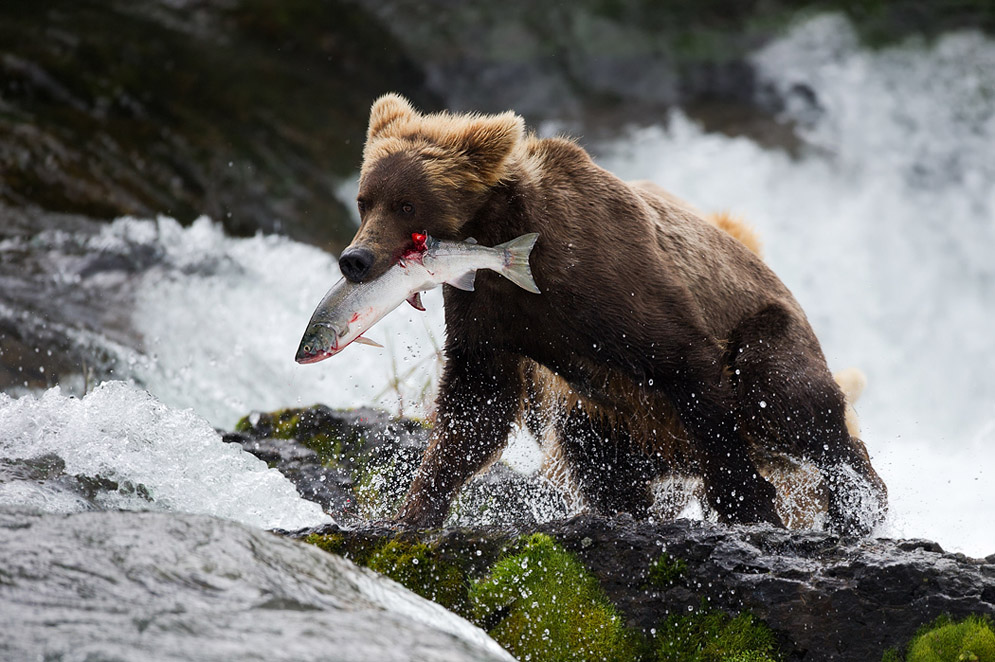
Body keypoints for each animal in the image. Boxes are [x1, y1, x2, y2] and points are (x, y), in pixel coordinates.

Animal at [342, 93, 888, 536]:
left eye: (407, 205)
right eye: (365, 201)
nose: (355, 259)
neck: (505, 241)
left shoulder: (609, 279)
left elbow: (688, 367)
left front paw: (749, 507)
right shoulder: (488, 310)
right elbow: (476, 407)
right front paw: (408, 514)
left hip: (767, 332)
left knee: (792, 402)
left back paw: (857, 506)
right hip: (614, 421)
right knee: (598, 456)